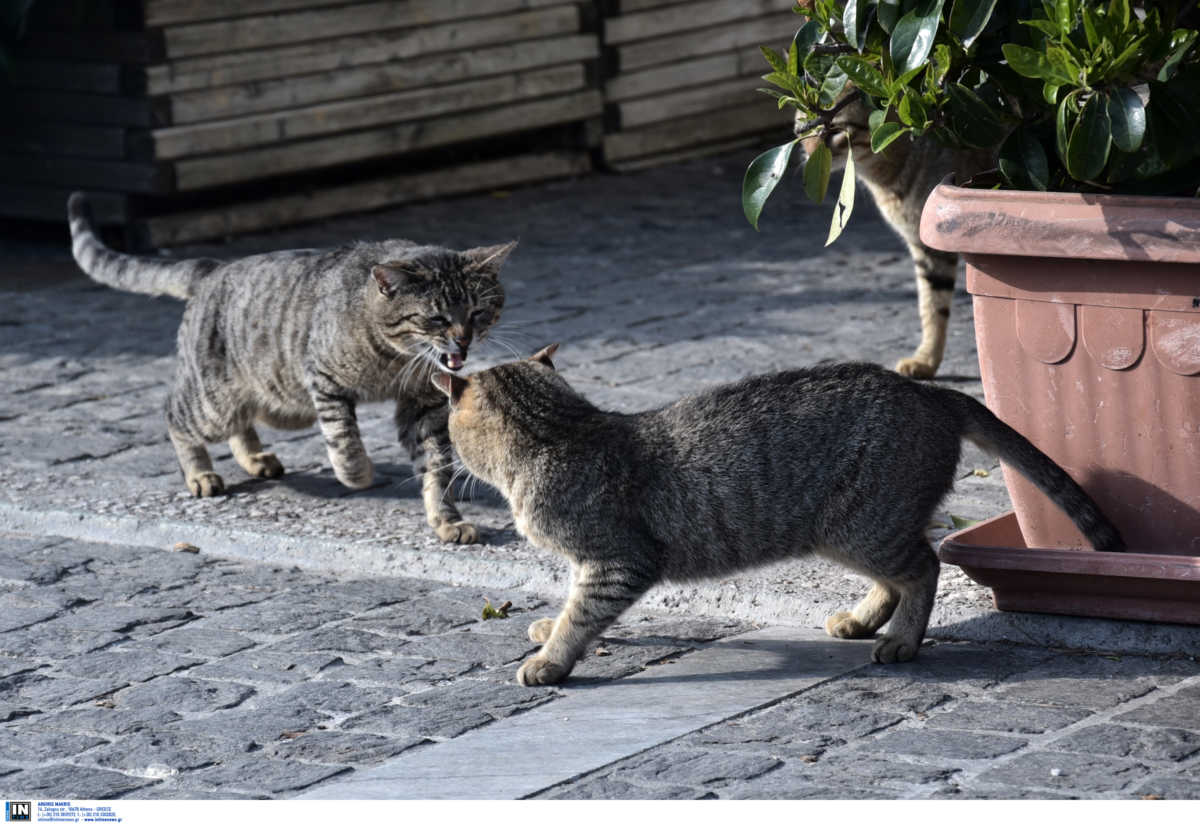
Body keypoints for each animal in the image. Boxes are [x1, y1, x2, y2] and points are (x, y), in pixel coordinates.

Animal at [68, 190, 513, 544]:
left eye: (478, 311)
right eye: (436, 318)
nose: (463, 340)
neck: (394, 360)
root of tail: (214, 268)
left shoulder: (422, 404)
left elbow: (436, 466)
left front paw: (446, 519)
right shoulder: (325, 380)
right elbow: (343, 438)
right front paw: (358, 475)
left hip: (278, 401)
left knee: (242, 423)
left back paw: (256, 458)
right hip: (218, 402)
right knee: (175, 415)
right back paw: (200, 474)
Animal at [434, 345, 1123, 686]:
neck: (559, 435)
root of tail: (926, 391)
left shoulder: (616, 562)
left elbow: (582, 617)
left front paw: (553, 659)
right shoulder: (590, 565)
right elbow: (570, 606)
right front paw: (549, 629)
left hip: (862, 527)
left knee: (924, 569)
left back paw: (902, 640)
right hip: (853, 531)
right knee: (900, 576)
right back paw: (864, 621)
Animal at [796, 100, 993, 381]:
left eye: (833, 130)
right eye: (803, 129)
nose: (809, 153)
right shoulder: (925, 246)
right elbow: (932, 304)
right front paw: (926, 359)